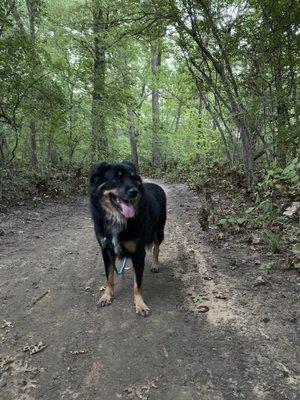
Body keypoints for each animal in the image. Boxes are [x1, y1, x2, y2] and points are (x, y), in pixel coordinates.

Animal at [90, 162, 168, 316]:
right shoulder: (106, 250)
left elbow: (137, 283)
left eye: (133, 178)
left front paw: (140, 304)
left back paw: (155, 265)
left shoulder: (138, 253)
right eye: (116, 178)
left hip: (159, 231)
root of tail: (156, 185)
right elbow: (109, 276)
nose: (134, 192)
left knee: (156, 248)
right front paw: (107, 295)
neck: (117, 219)